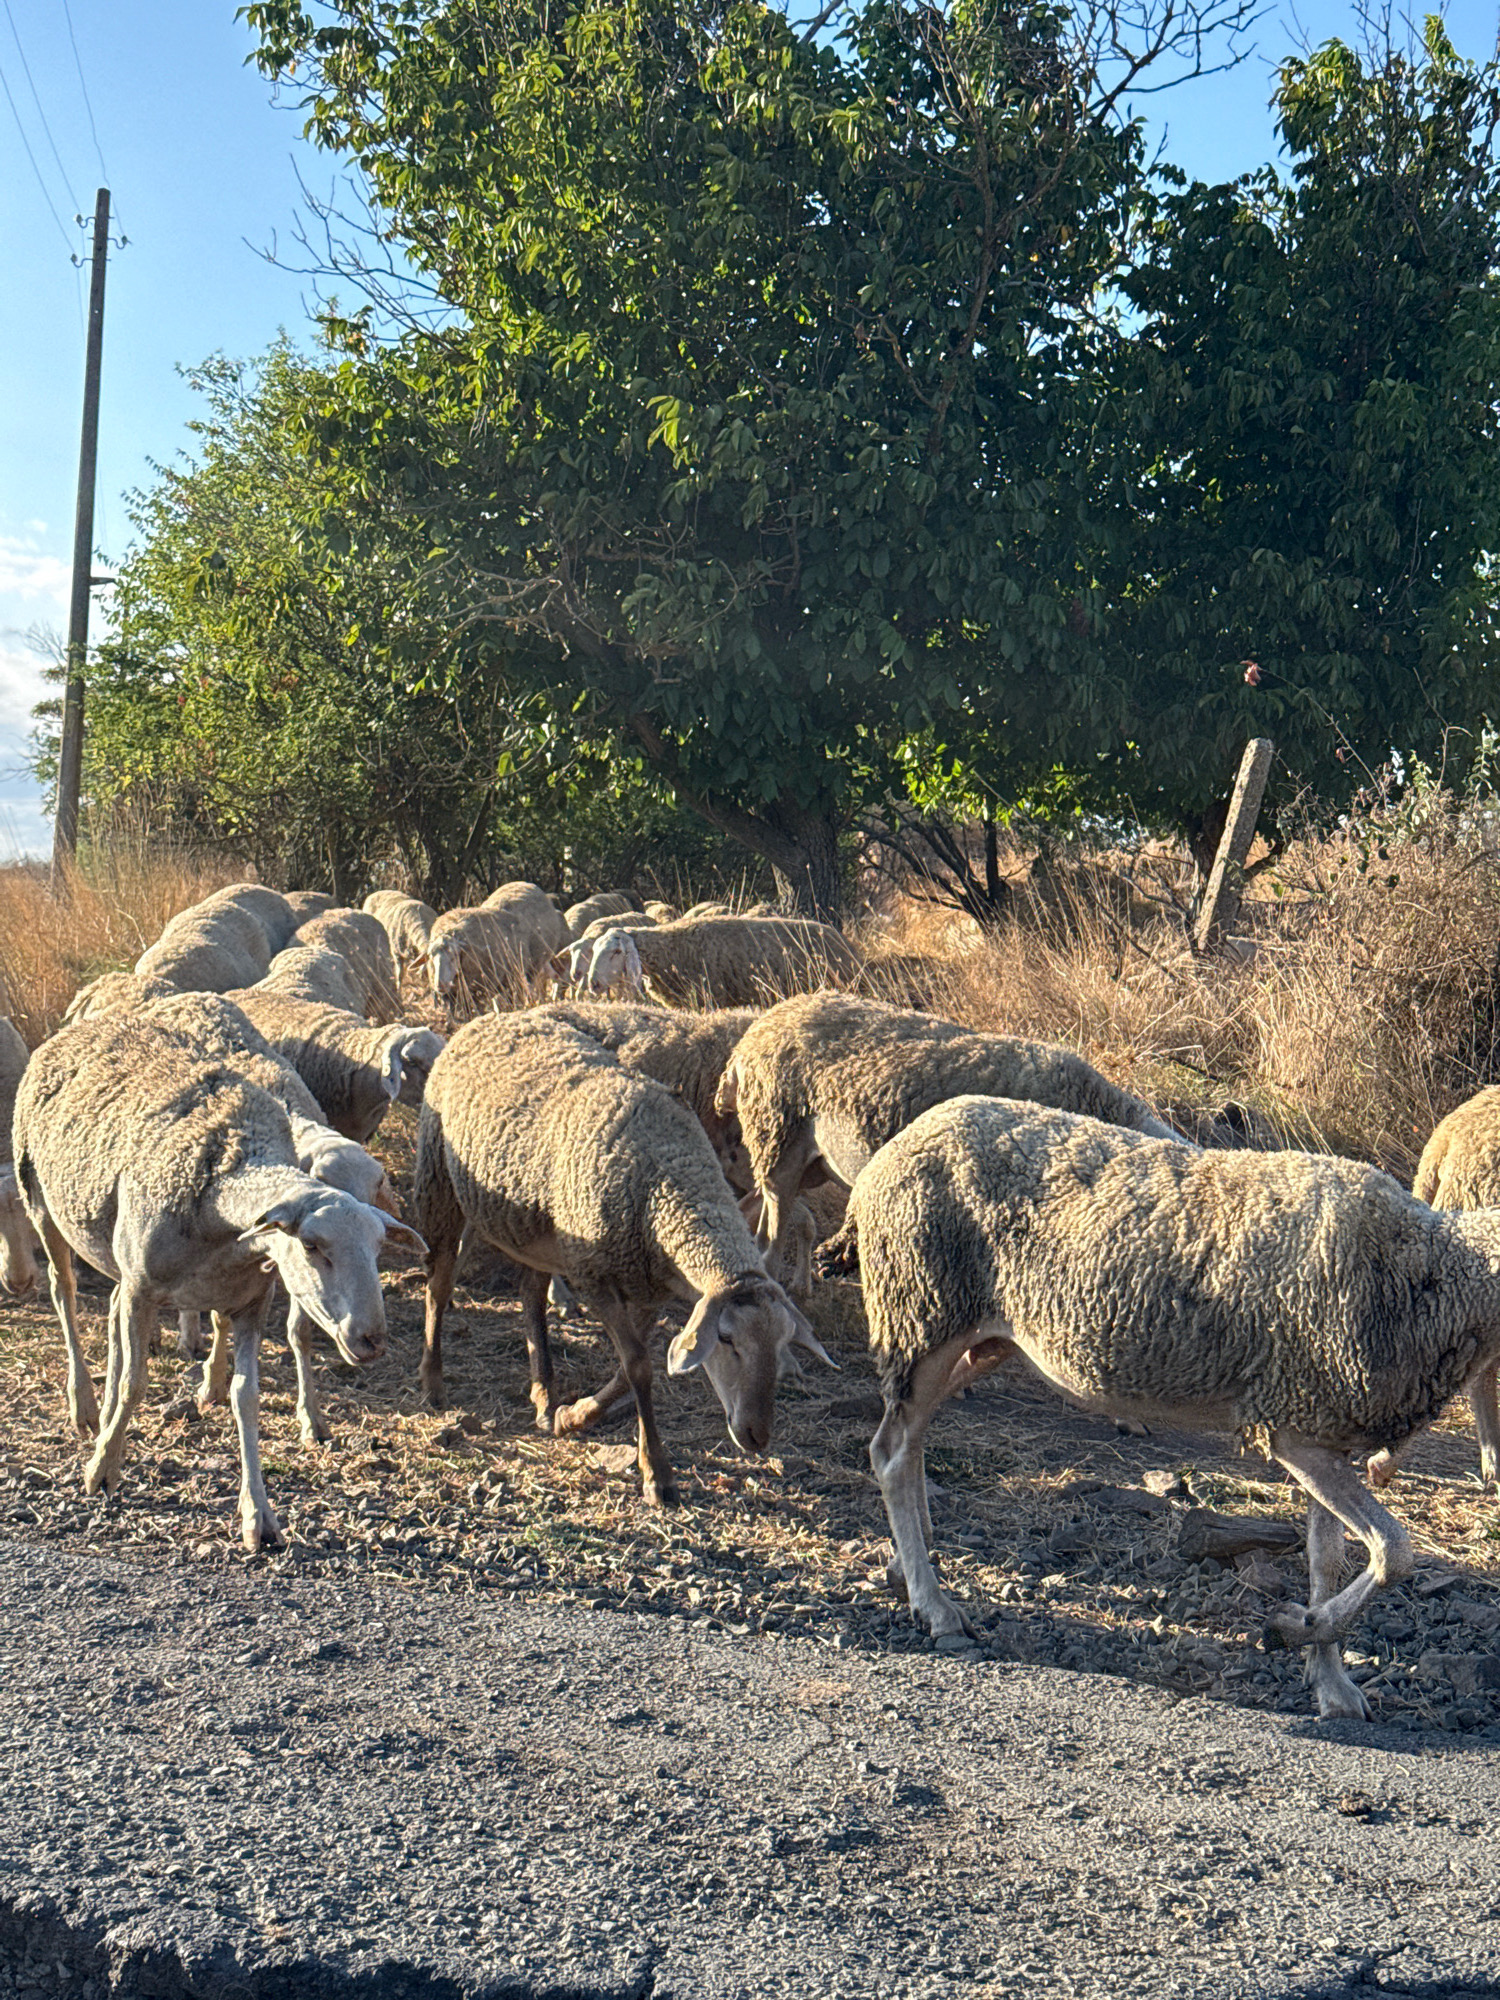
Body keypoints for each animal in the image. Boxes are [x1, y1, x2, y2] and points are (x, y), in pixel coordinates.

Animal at [14, 1017, 423, 1549]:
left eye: (378, 1248)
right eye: (312, 1246)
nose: (372, 1339)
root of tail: (86, 1024)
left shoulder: (249, 1301)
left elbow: (245, 1397)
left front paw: (258, 1515)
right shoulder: (145, 1288)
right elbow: (134, 1383)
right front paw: (102, 1469)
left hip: (120, 1254)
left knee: (110, 1304)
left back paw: (102, 1417)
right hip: (40, 1200)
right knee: (63, 1292)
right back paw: (84, 1404)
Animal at [414, 1011, 832, 1501]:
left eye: (783, 1343)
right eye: (727, 1339)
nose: (757, 1436)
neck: (667, 1177)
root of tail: (492, 1018)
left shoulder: (646, 1285)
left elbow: (628, 1368)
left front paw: (573, 1416)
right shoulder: (595, 1275)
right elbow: (639, 1368)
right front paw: (657, 1474)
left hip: (534, 1225)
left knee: (530, 1292)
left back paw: (544, 1396)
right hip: (440, 1181)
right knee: (439, 1286)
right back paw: (433, 1383)